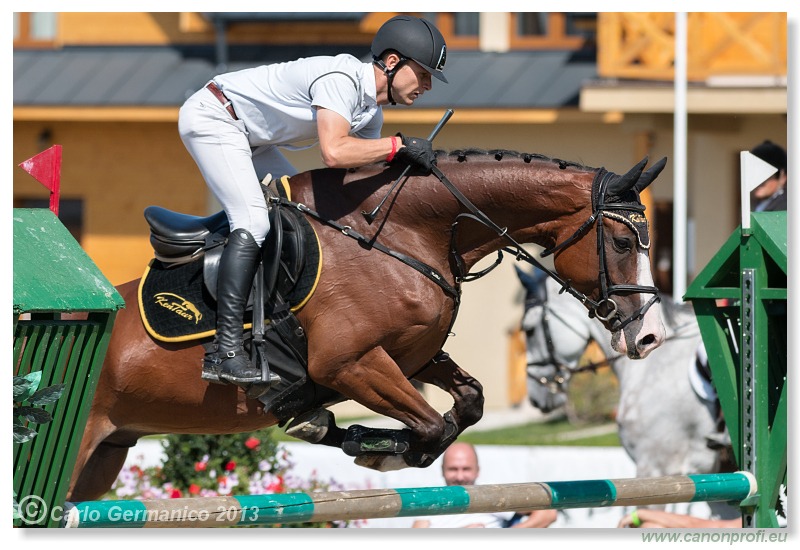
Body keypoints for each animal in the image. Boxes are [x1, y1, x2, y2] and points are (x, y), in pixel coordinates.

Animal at [69, 149, 668, 502]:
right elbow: (430, 427)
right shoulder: (350, 365)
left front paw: (349, 435)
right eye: (621, 243)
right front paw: (375, 446)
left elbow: (468, 402)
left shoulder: (412, 356)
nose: (649, 337)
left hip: (105, 454)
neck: (405, 234)